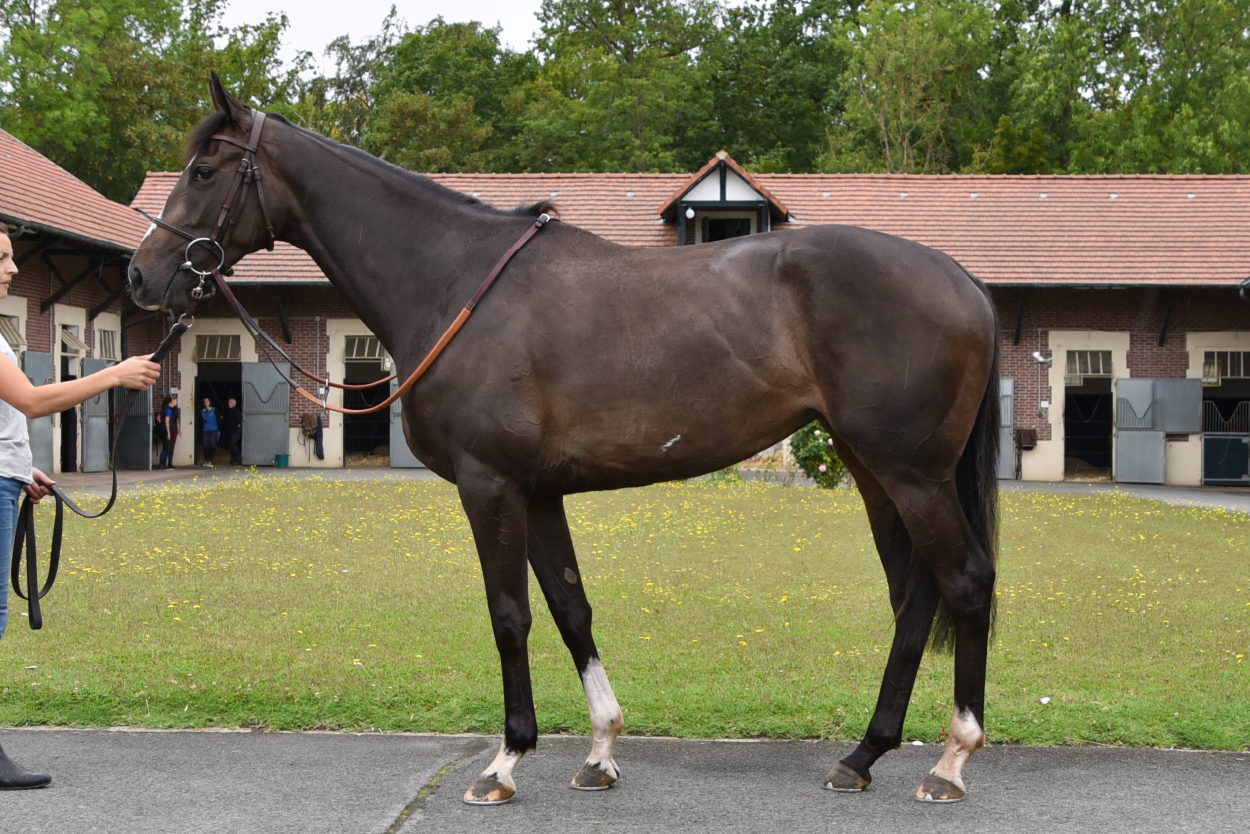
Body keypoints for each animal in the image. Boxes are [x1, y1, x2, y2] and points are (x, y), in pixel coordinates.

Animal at [126, 76, 1000, 800]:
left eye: (204, 171)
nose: (143, 274)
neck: (452, 280)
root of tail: (959, 278)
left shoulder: (490, 486)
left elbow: (509, 613)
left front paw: (507, 760)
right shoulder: (539, 492)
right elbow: (571, 607)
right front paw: (601, 751)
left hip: (910, 473)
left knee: (963, 583)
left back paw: (952, 762)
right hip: (873, 469)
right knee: (914, 598)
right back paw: (864, 756)